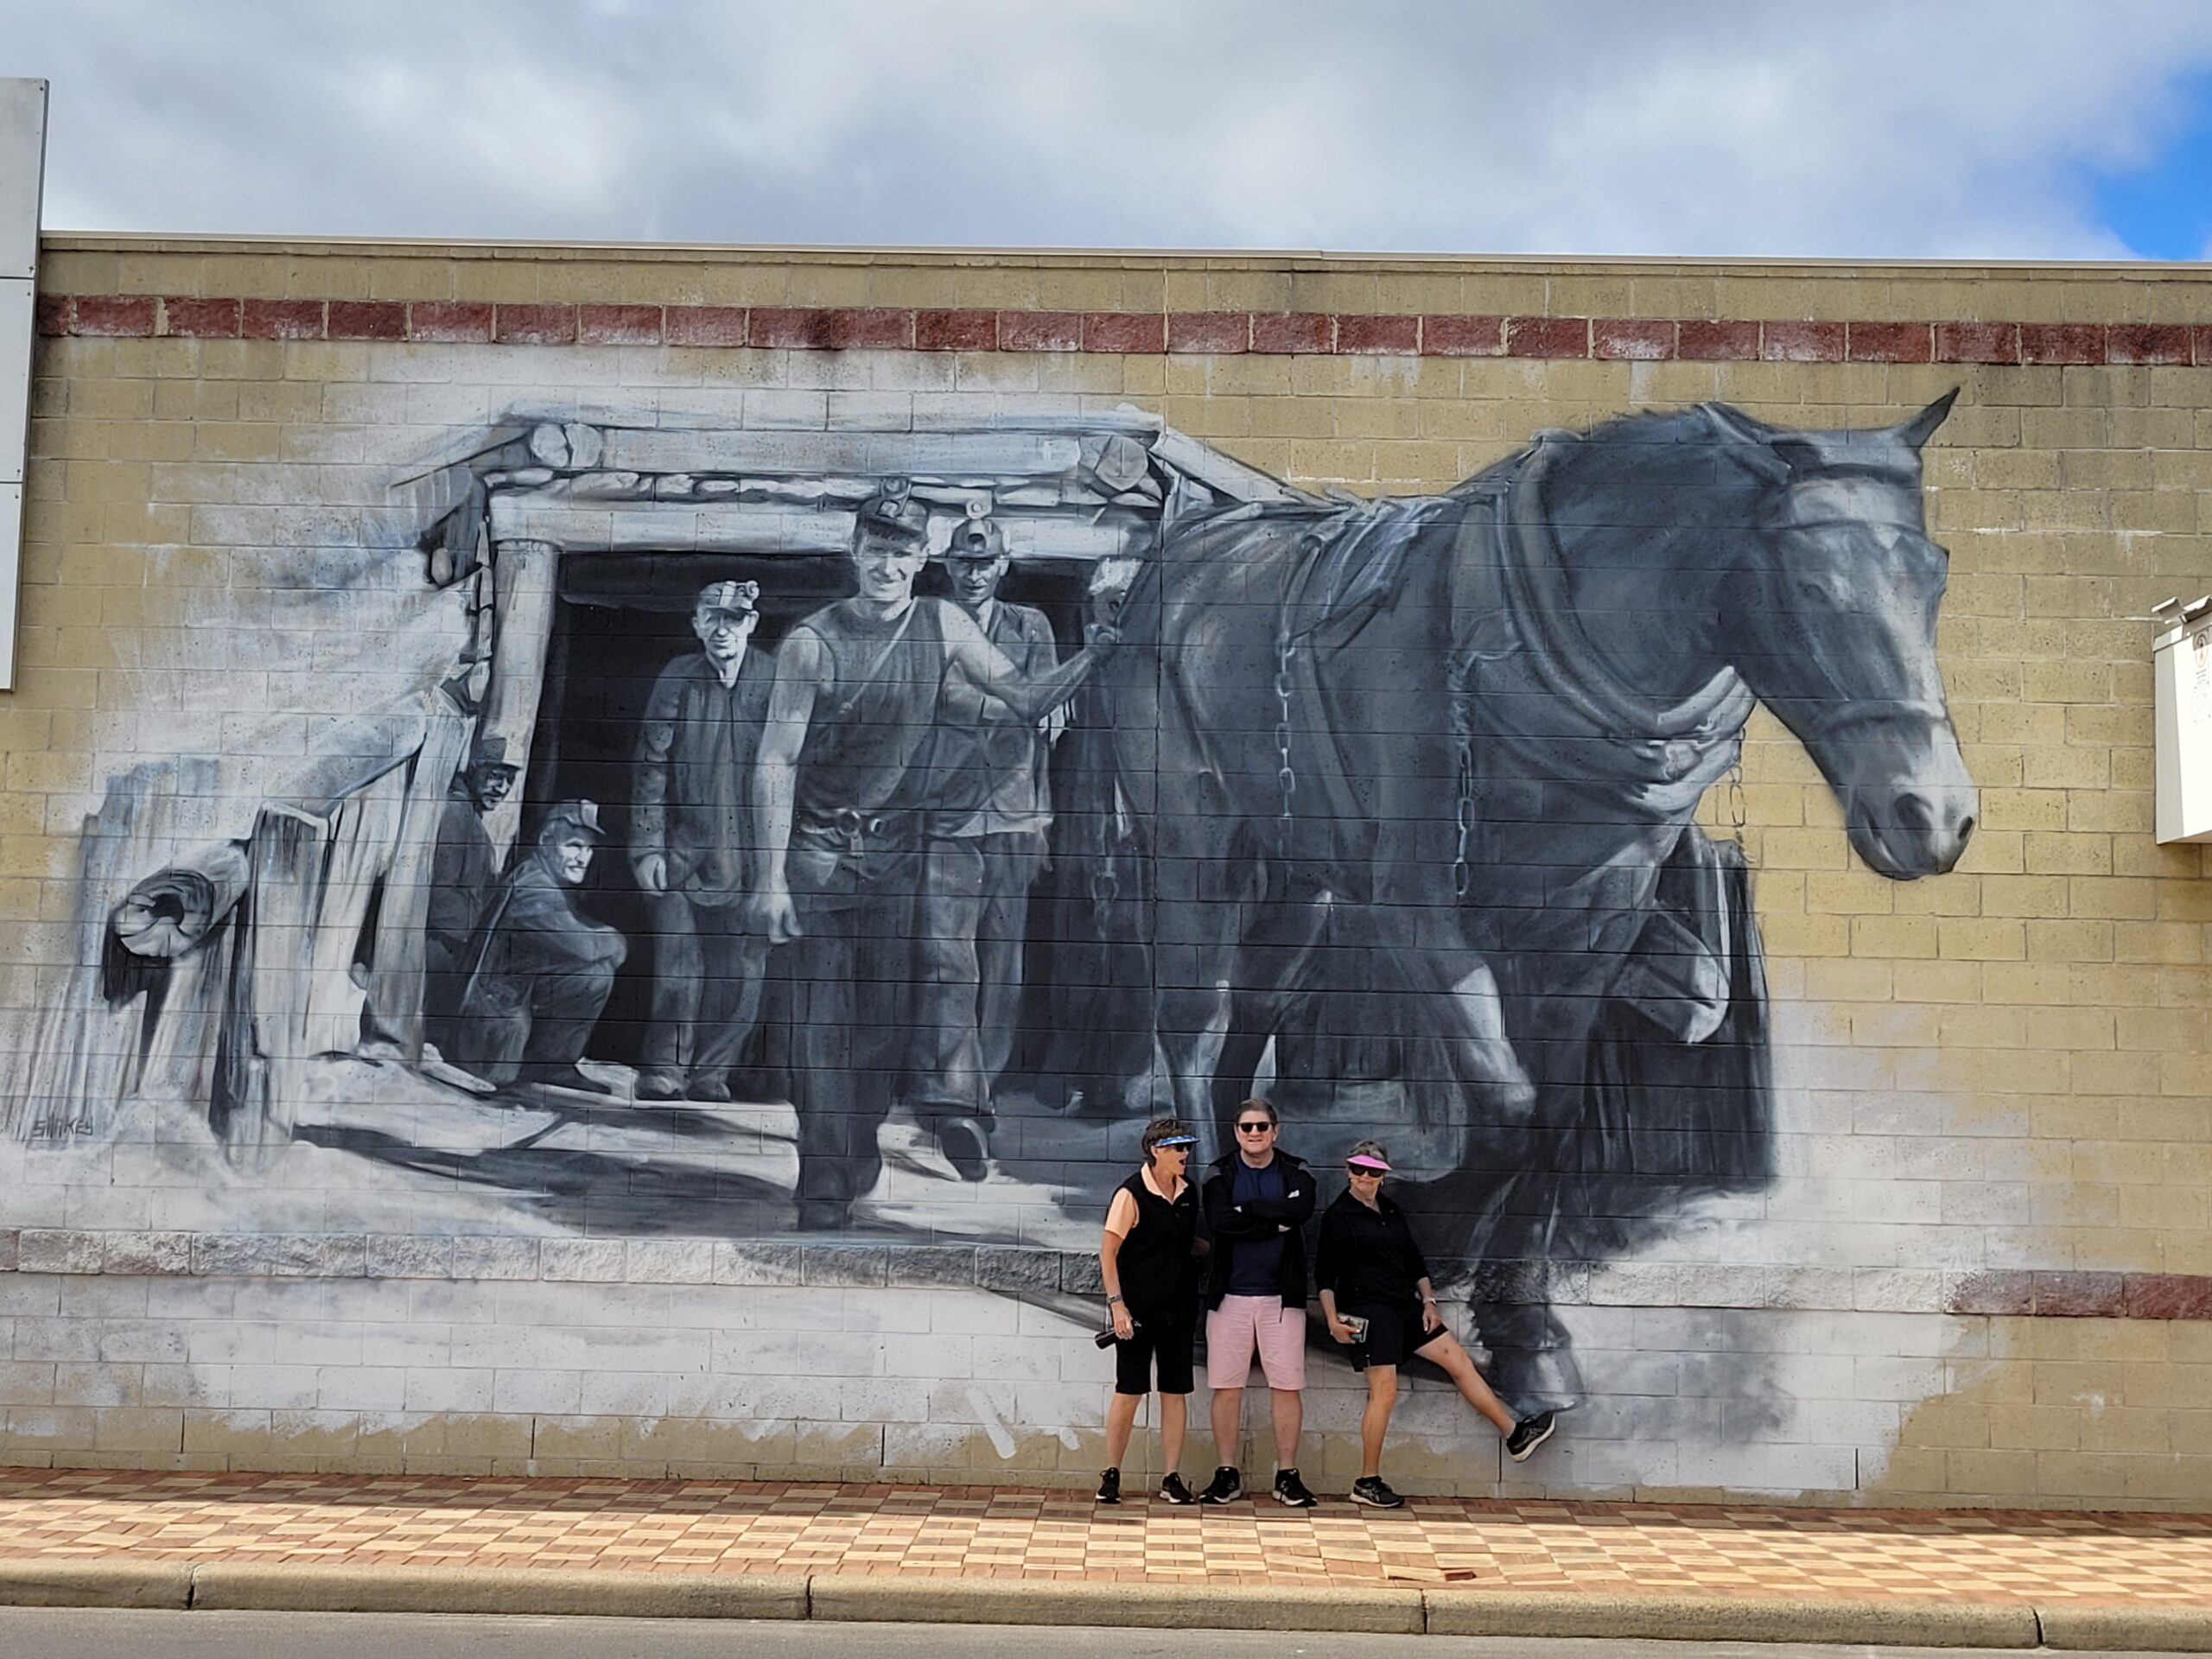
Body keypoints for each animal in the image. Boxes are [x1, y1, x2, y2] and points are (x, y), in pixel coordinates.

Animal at [1096, 396, 1981, 1407]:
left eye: (1935, 579)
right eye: (1808, 586)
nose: (1933, 816)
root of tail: (1180, 558)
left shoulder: (1591, 933)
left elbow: (1550, 1121)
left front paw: (1525, 1334)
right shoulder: (1418, 915)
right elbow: (1508, 1106)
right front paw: (1413, 1233)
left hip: (1297, 885)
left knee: (1250, 1023)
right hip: (1198, 852)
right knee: (1197, 1026)